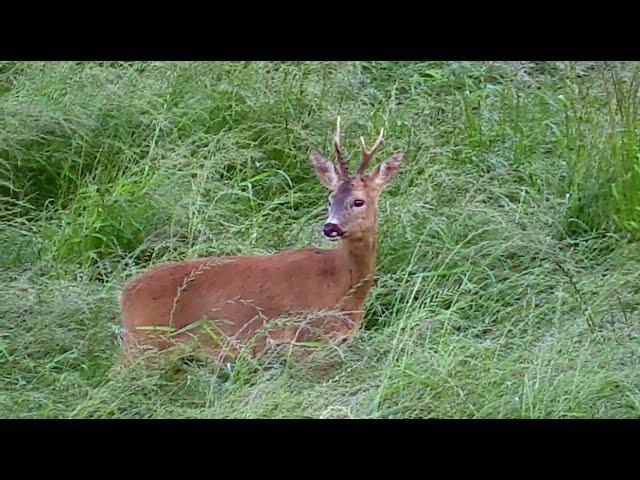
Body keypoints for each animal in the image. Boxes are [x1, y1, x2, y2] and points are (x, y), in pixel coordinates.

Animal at [120, 118, 402, 362]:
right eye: (330, 199)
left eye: (358, 201)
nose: (330, 227)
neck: (343, 284)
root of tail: (124, 295)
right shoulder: (305, 338)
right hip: (144, 343)